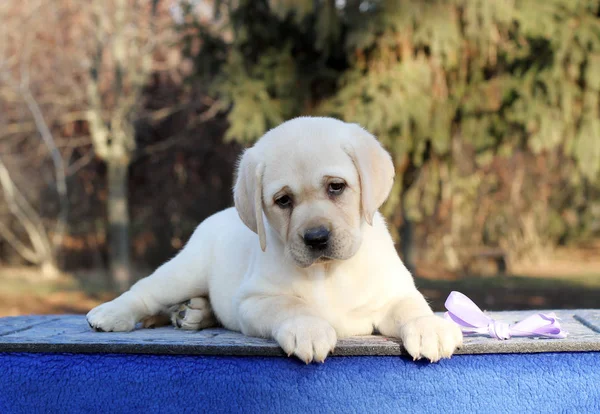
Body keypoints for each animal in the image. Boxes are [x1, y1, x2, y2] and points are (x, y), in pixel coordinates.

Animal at [86, 115, 464, 362]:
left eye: (336, 187)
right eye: (283, 200)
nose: (316, 238)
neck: (328, 272)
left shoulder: (392, 292)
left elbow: (411, 306)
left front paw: (430, 328)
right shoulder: (254, 300)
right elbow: (291, 305)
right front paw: (309, 329)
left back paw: (192, 312)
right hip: (185, 271)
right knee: (145, 292)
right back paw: (113, 313)